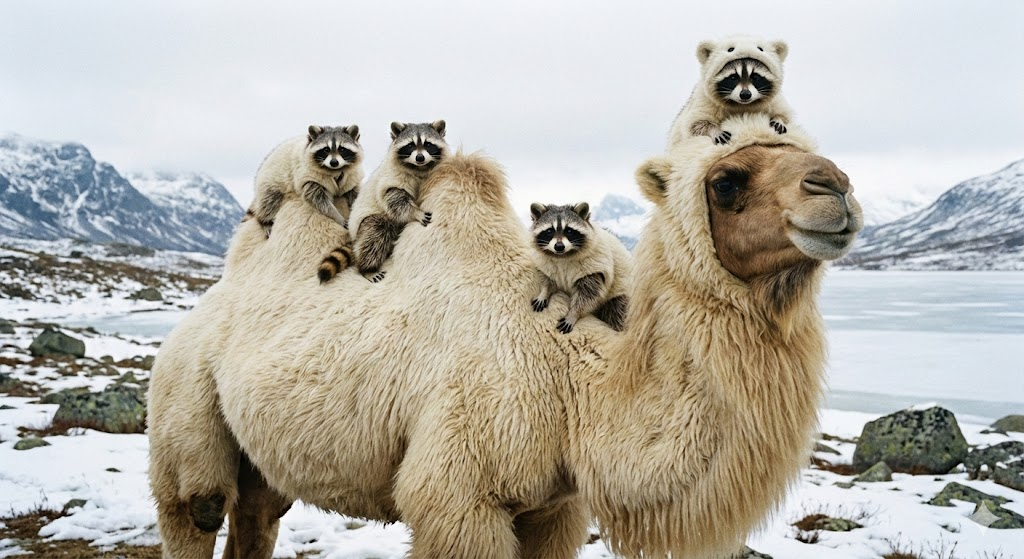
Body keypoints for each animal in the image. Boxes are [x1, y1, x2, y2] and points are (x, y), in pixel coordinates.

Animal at [147, 113, 863, 558]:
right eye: (726, 179)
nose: (837, 187)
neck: (574, 387)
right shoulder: (460, 495)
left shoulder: (554, 508)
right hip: (182, 395)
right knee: (195, 507)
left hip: (258, 448)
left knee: (256, 516)